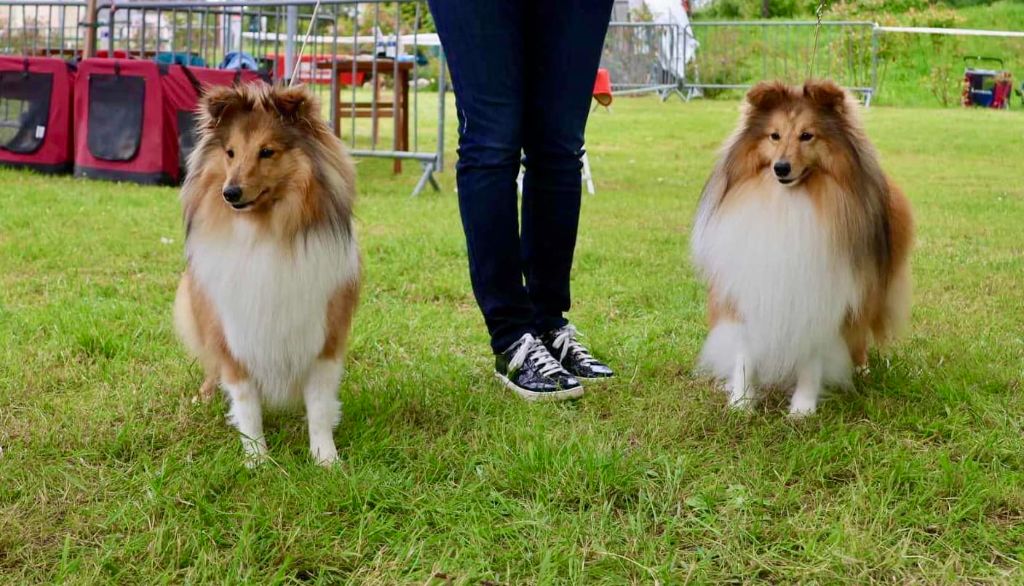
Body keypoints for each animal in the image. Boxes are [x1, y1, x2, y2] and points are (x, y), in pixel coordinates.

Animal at [177, 83, 364, 467]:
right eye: (230, 153)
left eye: (267, 152)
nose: (230, 193)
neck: (265, 232)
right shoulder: (234, 334)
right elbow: (247, 404)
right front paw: (258, 459)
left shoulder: (324, 334)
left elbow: (319, 406)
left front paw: (326, 459)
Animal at [692, 79, 917, 415]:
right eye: (774, 135)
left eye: (807, 135)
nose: (781, 168)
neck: (788, 203)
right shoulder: (746, 286)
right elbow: (744, 351)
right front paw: (741, 402)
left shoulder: (822, 294)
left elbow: (813, 356)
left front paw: (803, 408)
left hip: (870, 290)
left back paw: (860, 367)